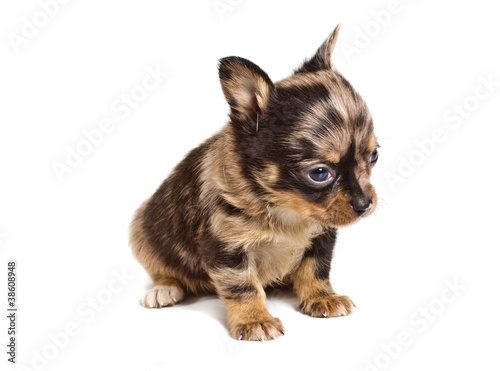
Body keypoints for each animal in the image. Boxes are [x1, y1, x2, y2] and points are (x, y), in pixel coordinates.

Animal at [130, 24, 378, 342]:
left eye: (373, 156)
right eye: (320, 173)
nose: (365, 205)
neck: (284, 206)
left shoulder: (322, 235)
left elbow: (315, 269)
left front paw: (322, 297)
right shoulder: (226, 245)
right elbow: (243, 286)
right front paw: (253, 319)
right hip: (144, 233)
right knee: (164, 269)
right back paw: (164, 289)